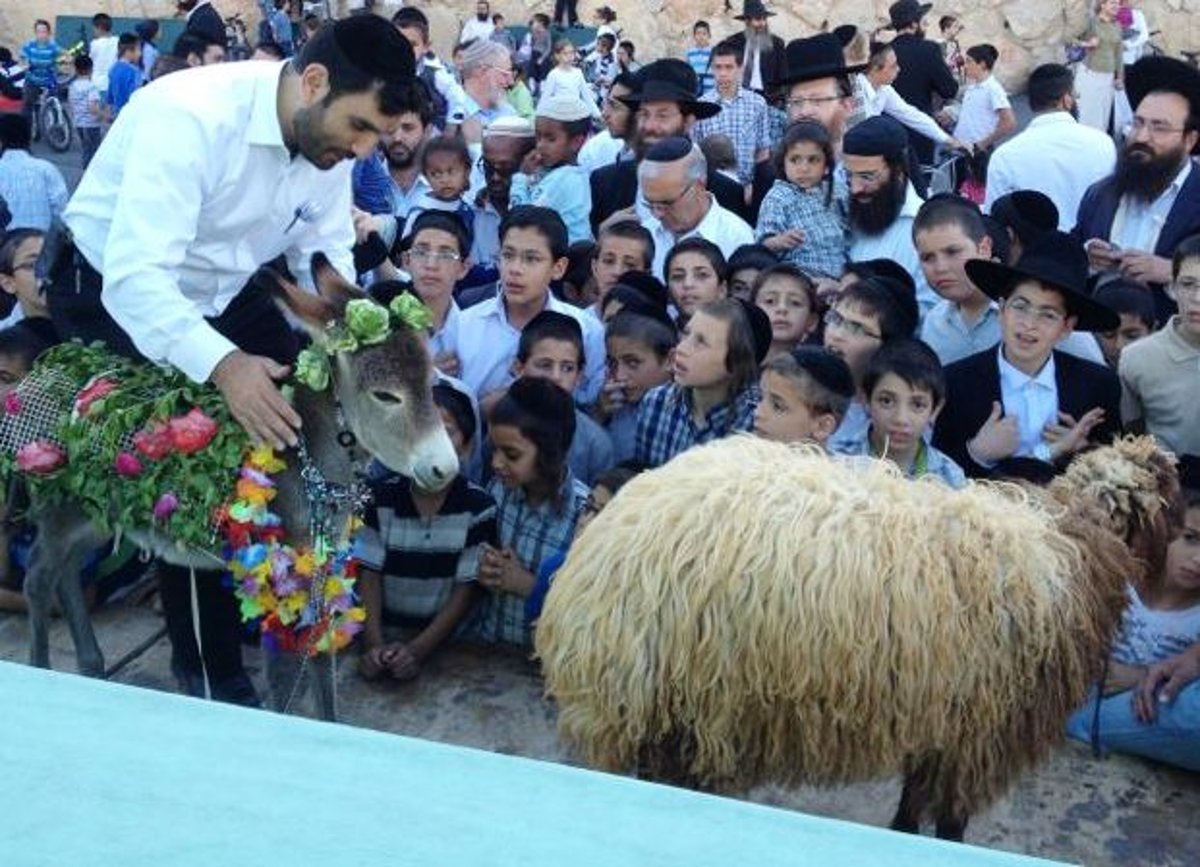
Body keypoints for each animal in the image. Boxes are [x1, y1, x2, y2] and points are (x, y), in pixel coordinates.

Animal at [537, 432, 1180, 835]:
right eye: (1174, 501)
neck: (1069, 540)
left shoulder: (943, 718)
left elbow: (912, 800)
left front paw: (901, 834)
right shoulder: (981, 733)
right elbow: (950, 821)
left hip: (678, 713)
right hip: (664, 701)